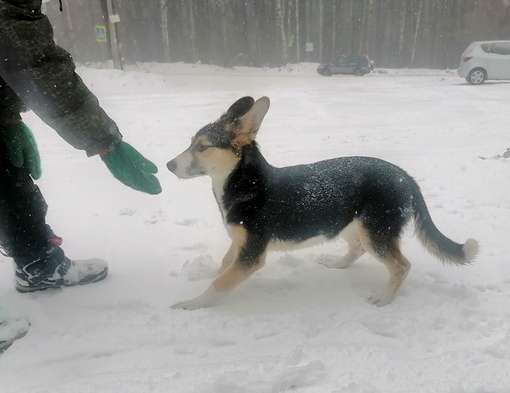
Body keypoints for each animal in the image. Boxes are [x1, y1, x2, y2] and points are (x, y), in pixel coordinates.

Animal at [167, 95, 478, 310]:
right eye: (191, 142)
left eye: (203, 147)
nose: (169, 165)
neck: (246, 183)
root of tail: (405, 176)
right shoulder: (240, 243)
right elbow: (223, 264)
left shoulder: (252, 253)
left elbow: (220, 282)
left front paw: (194, 303)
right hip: (353, 224)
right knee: (357, 249)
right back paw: (337, 263)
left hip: (375, 230)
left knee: (401, 266)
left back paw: (385, 297)